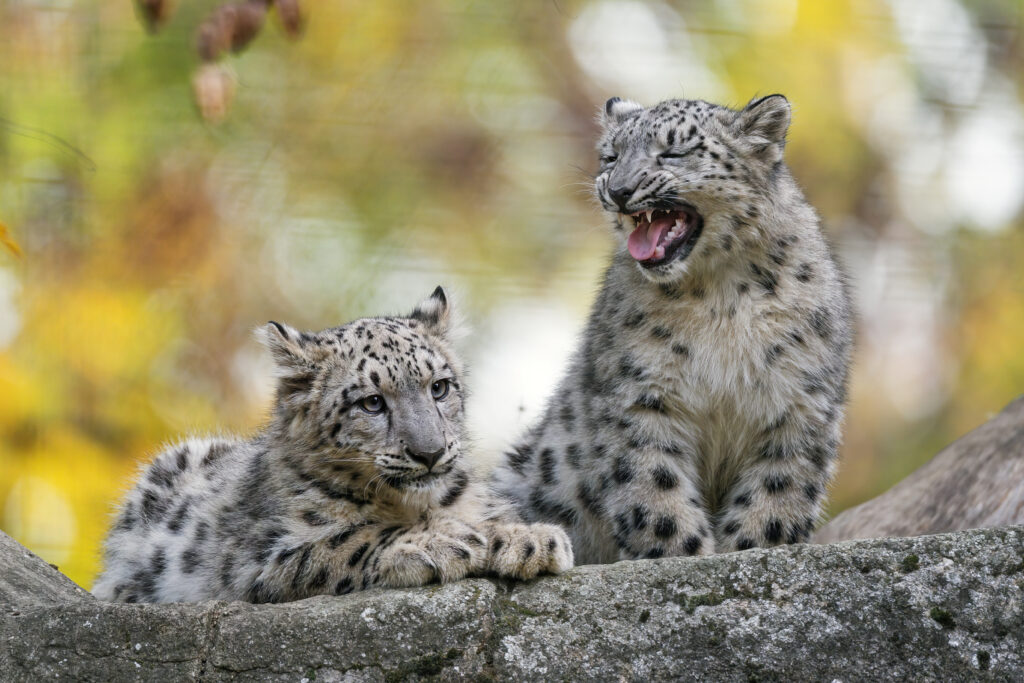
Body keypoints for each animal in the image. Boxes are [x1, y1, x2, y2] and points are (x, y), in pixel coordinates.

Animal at [92, 287, 572, 603]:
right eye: (372, 402)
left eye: (439, 387)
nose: (430, 452)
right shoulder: (254, 562)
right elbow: (348, 541)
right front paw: (440, 541)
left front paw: (529, 539)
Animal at [490, 95, 854, 564]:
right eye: (611, 156)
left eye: (674, 152)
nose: (618, 190)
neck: (720, 297)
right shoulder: (640, 396)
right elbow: (655, 487)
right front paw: (679, 552)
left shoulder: (800, 400)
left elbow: (777, 492)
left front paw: (753, 547)